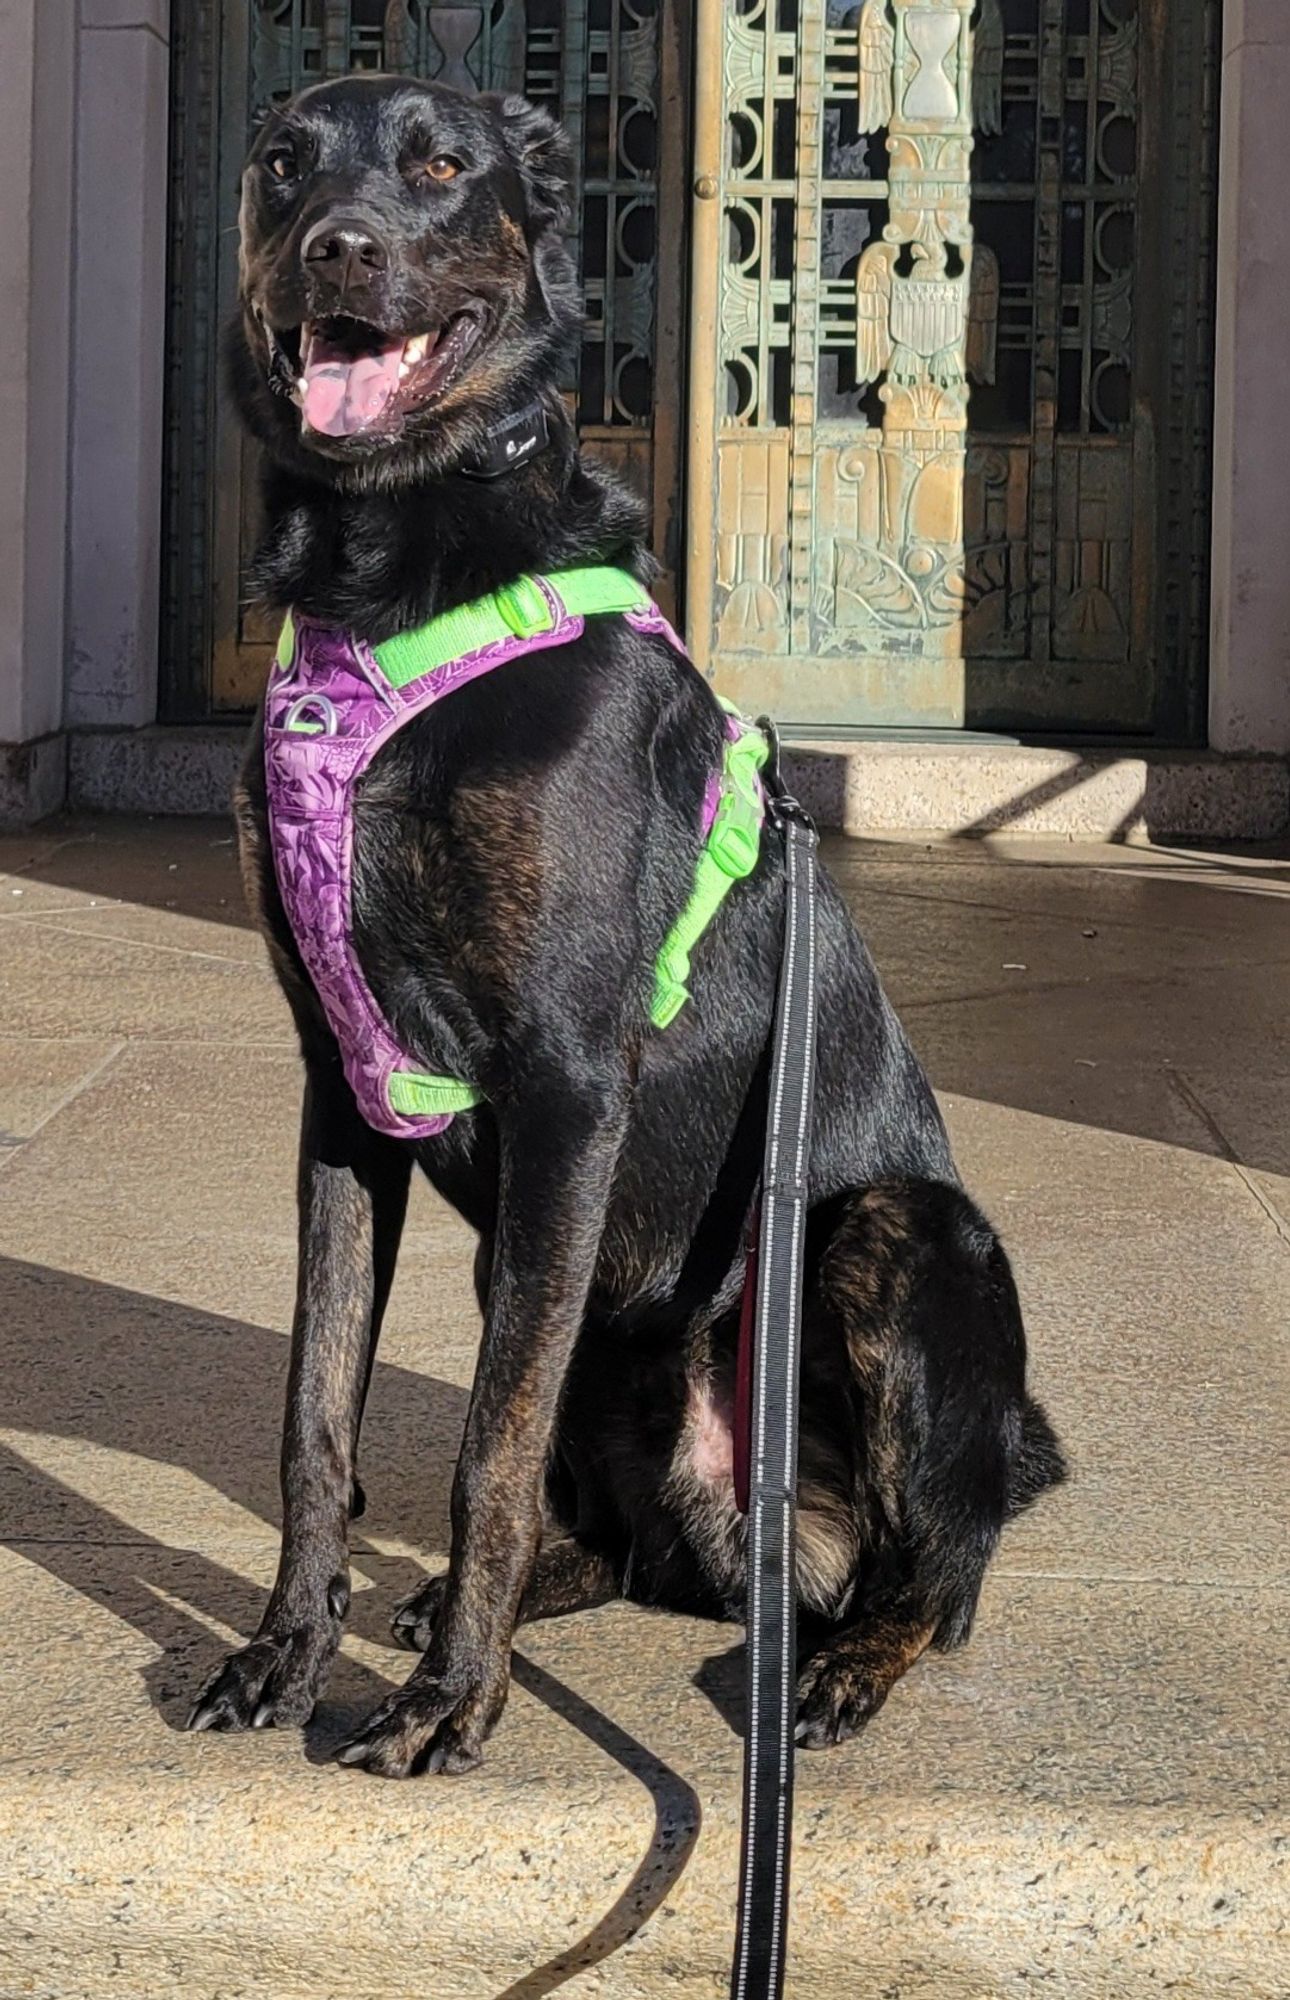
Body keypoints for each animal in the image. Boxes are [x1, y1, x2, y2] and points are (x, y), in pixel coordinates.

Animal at [189, 70, 1056, 1776]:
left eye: (441, 167)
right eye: (282, 164)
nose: (333, 249)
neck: (394, 562)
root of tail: (769, 1544)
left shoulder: (567, 1085)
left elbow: (489, 1442)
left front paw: (452, 1704)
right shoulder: (342, 1095)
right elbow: (318, 1414)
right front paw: (289, 1650)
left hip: (892, 1234)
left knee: (944, 1574)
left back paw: (834, 1663)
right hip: (576, 1284)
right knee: (616, 1537)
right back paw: (489, 1601)